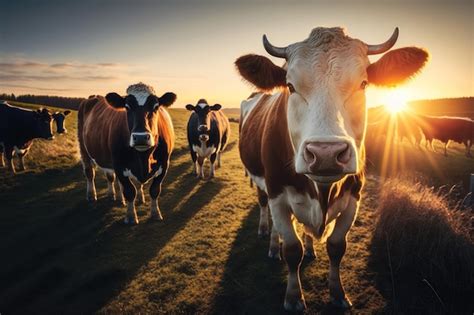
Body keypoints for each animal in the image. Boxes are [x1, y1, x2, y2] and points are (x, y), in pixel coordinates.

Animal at [78, 81, 177, 225]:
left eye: (156, 106)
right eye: (127, 107)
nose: (141, 137)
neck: (144, 158)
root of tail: (94, 96)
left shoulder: (164, 164)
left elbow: (154, 190)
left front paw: (155, 213)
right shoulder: (119, 164)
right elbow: (130, 191)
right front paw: (131, 216)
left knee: (110, 176)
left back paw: (115, 196)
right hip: (84, 149)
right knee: (89, 173)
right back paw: (91, 195)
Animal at [235, 26, 428, 312]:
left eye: (363, 83)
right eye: (290, 86)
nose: (325, 153)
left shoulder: (353, 199)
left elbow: (337, 247)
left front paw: (338, 293)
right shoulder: (278, 195)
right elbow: (291, 249)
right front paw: (293, 297)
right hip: (261, 182)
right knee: (264, 207)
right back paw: (269, 241)